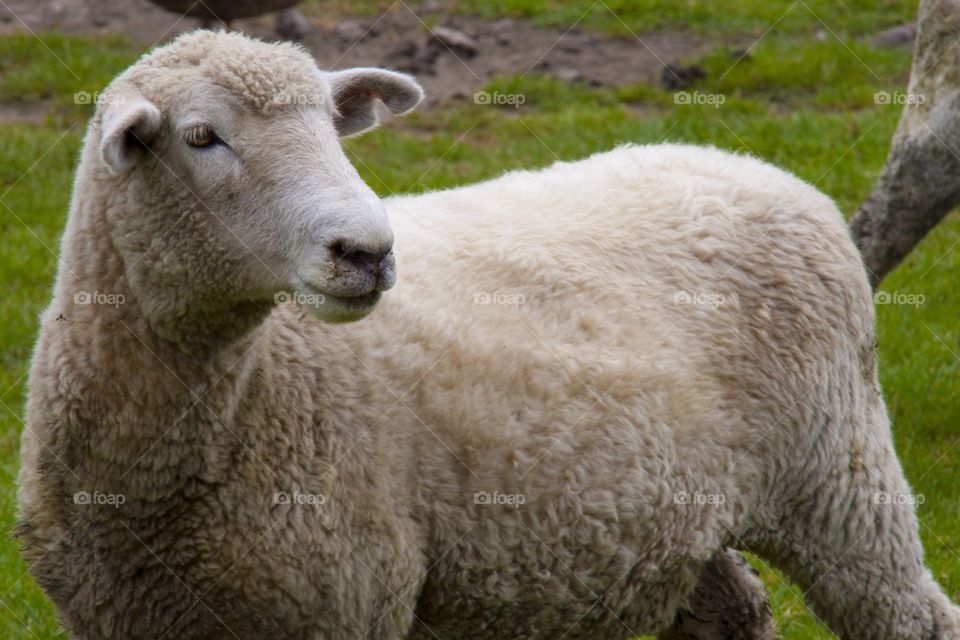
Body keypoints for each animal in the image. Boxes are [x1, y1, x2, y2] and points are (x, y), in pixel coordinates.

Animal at [16, 31, 960, 640]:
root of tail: (747, 165)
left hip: (840, 480)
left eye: (330, 124)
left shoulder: (347, 600)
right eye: (202, 137)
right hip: (687, 516)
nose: (369, 251)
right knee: (735, 611)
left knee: (914, 617)